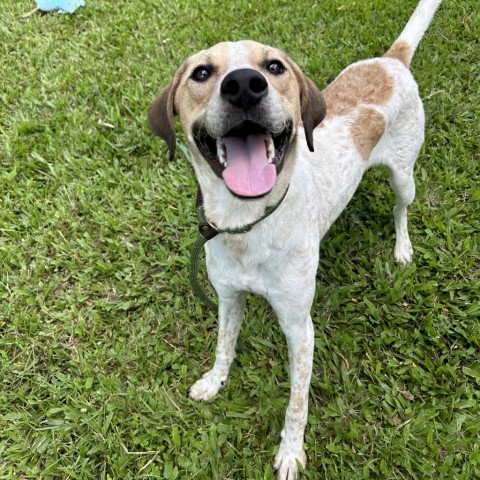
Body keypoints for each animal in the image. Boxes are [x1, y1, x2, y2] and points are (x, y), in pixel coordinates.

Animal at [149, 1, 442, 478]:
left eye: (274, 66)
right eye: (201, 73)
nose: (244, 86)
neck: (248, 223)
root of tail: (391, 60)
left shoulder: (299, 328)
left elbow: (297, 402)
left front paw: (290, 452)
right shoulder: (228, 298)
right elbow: (223, 346)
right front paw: (214, 381)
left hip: (404, 176)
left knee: (401, 210)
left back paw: (401, 248)